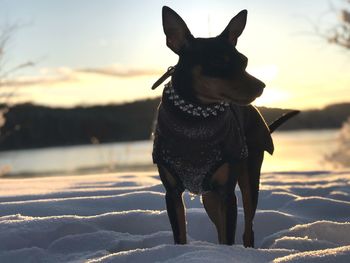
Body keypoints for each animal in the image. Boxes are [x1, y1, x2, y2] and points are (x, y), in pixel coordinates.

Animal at [150, 6, 298, 250]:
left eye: (244, 61)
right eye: (218, 61)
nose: (262, 86)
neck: (195, 118)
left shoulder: (227, 193)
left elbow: (229, 237)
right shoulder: (172, 194)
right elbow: (181, 236)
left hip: (248, 177)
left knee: (247, 228)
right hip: (209, 196)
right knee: (221, 227)